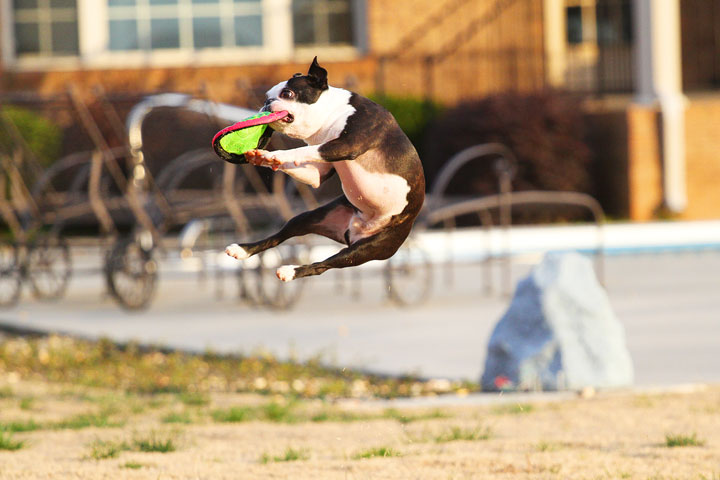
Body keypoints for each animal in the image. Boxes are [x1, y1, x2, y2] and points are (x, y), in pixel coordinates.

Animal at [225, 57, 424, 282]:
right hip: (310, 218)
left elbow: (302, 150)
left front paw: (275, 155)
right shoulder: (317, 172)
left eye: (287, 94)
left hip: (366, 249)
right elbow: (308, 166)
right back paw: (242, 250)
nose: (267, 103)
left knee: (322, 266)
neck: (333, 113)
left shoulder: (346, 145)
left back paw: (290, 271)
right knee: (278, 237)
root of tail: (352, 232)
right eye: (267, 96)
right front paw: (262, 157)